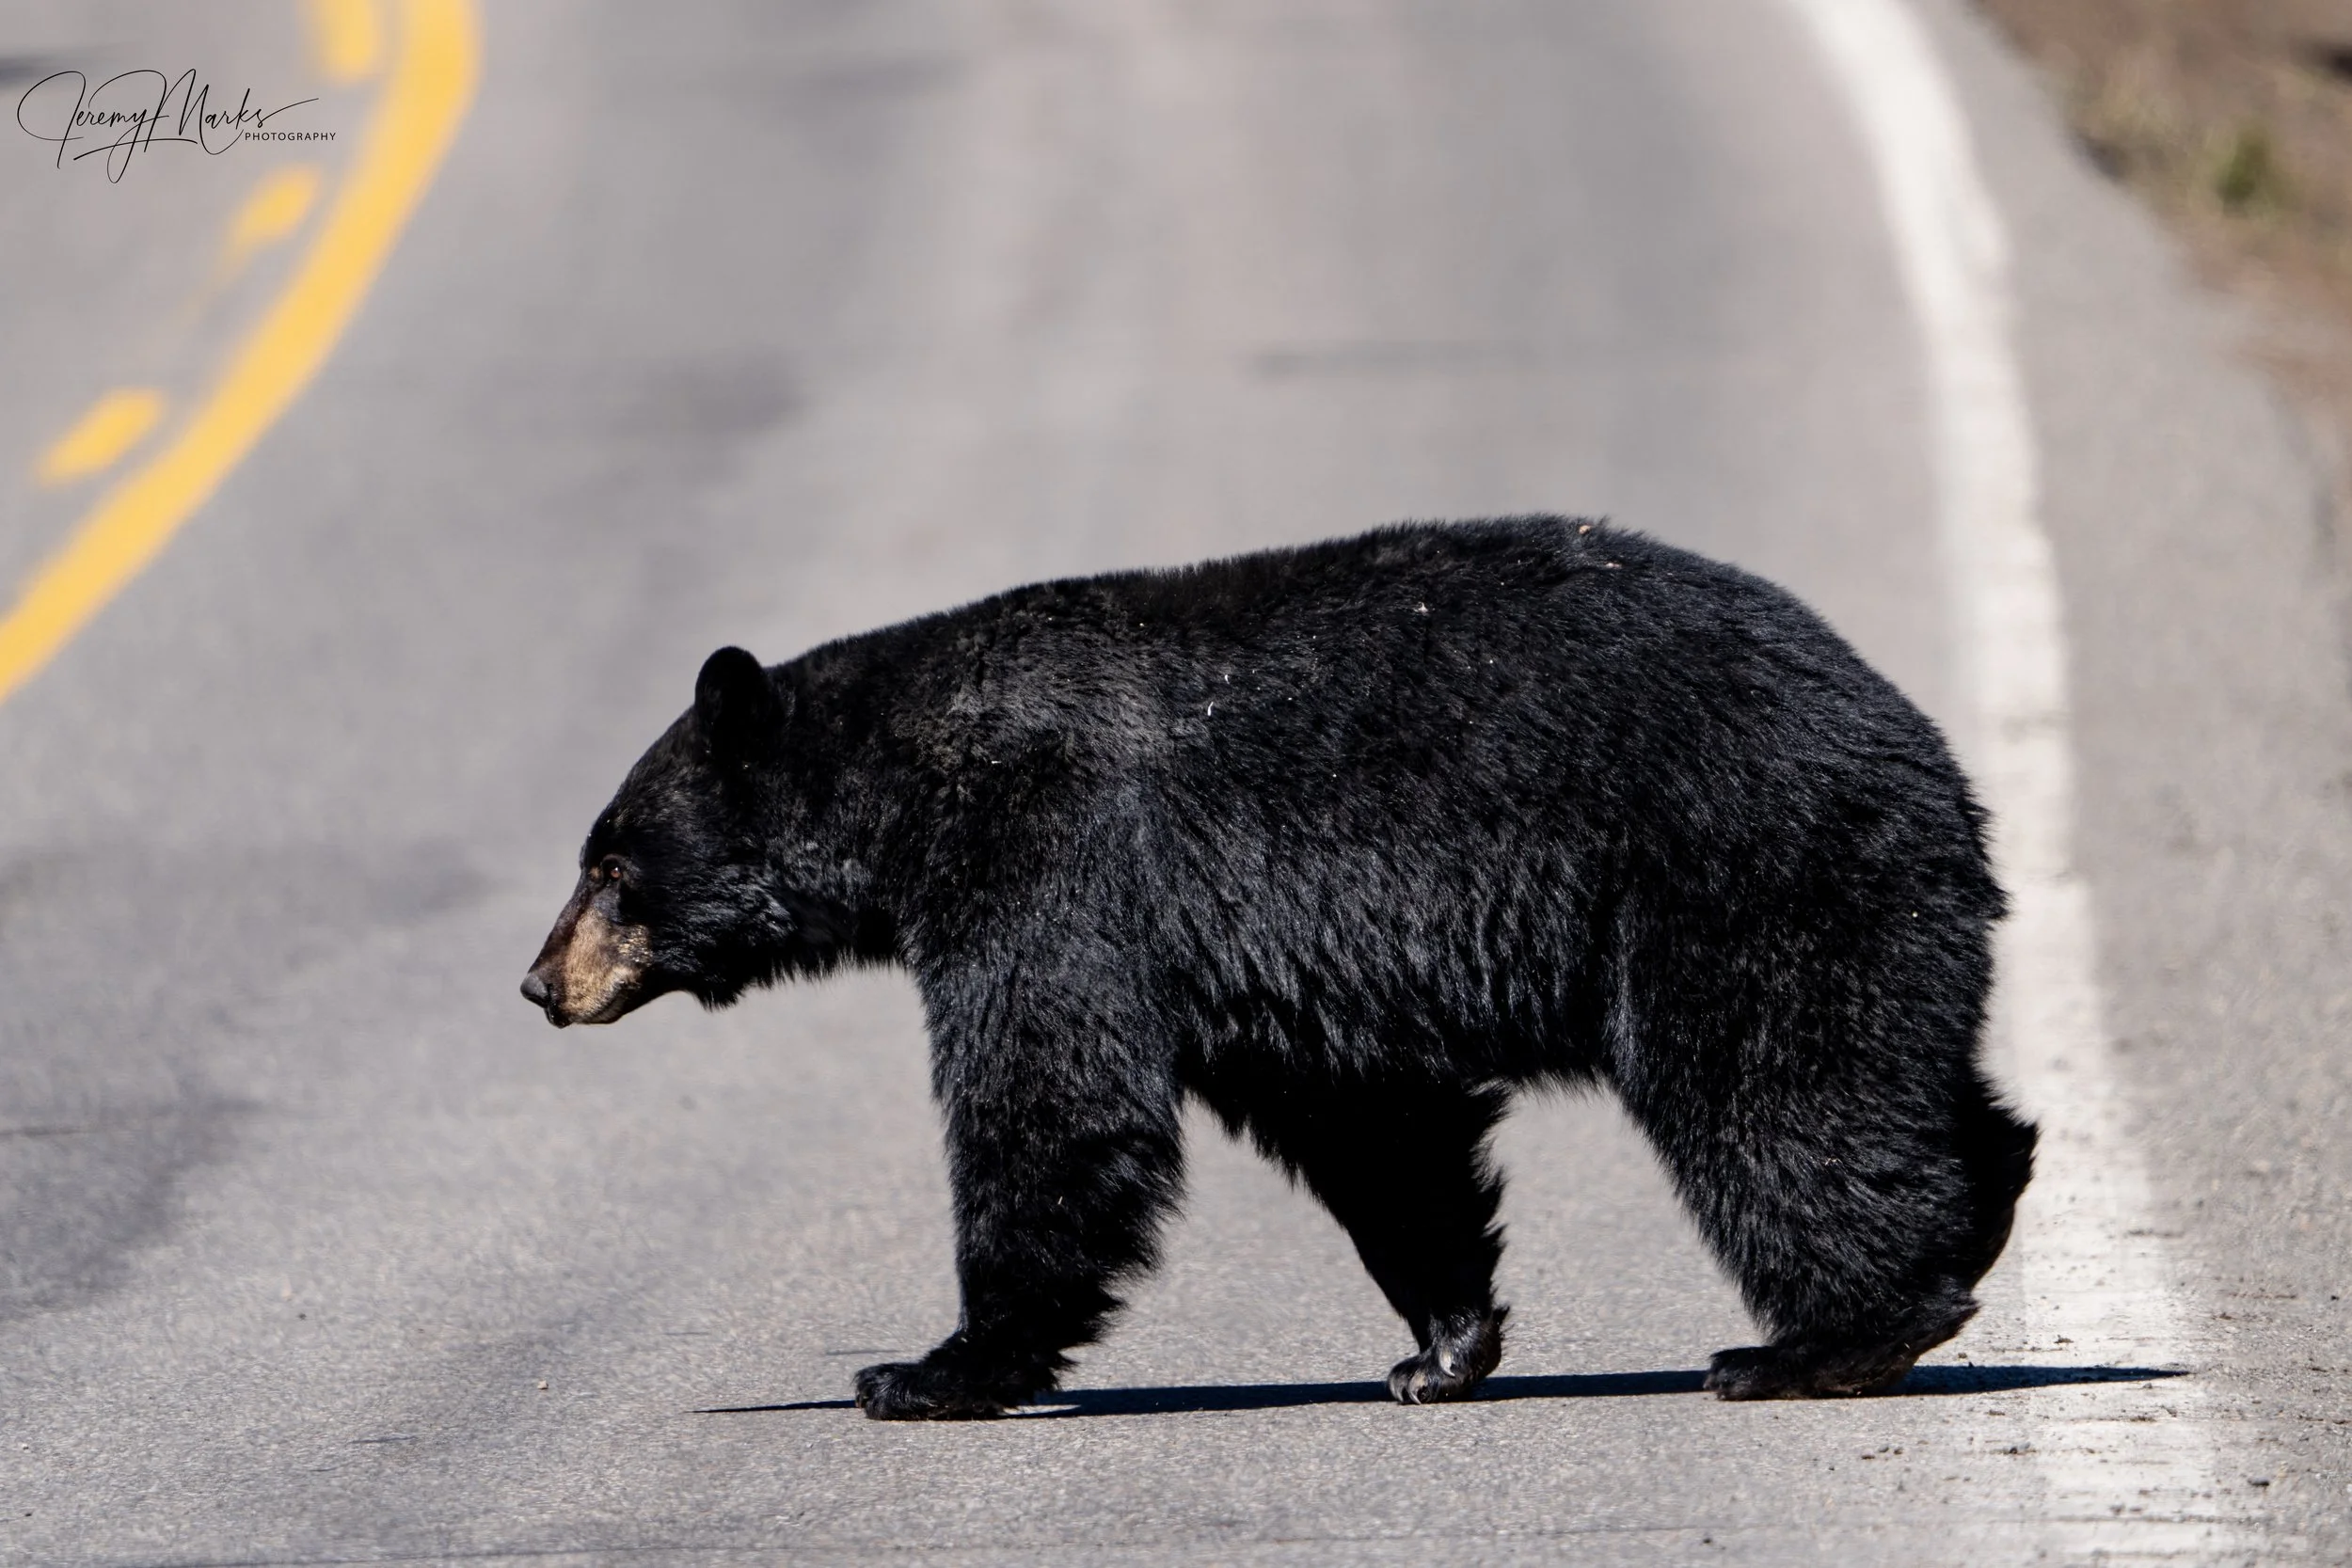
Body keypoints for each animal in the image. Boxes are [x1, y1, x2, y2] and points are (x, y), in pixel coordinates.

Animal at [521, 516, 2035, 1418]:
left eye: (610, 861)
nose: (541, 981)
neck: (917, 782)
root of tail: (1930, 760)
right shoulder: (1260, 968)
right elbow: (1375, 1130)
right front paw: (1440, 1344)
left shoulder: (1053, 865)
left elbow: (1053, 1098)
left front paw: (932, 1364)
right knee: (1902, 1082)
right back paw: (1979, 1206)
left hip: (1741, 871)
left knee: (1775, 1090)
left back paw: (1818, 1338)